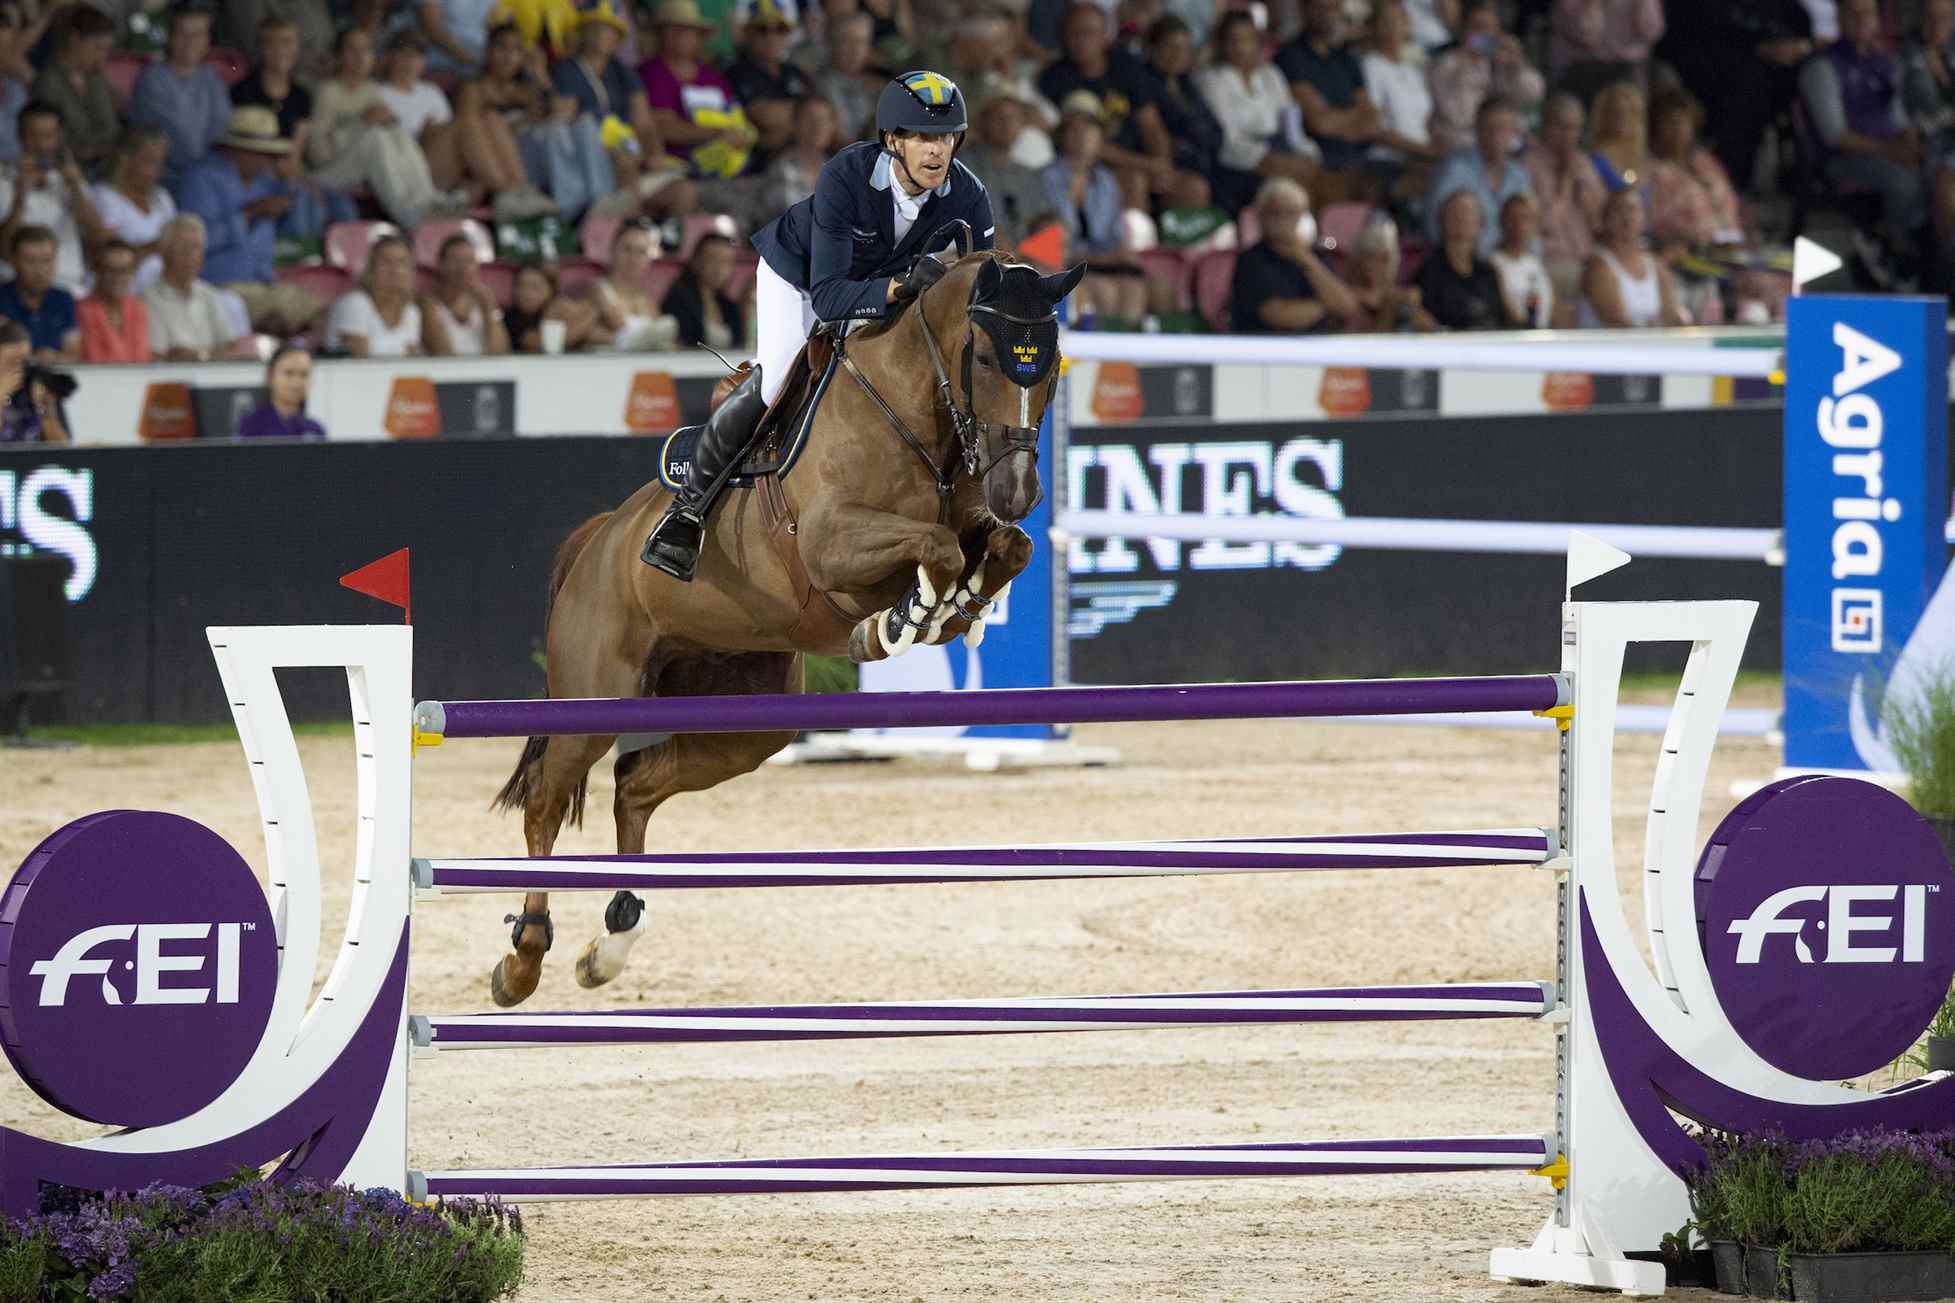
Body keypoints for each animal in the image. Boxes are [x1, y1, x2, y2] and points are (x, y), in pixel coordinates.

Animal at [486, 250, 1086, 1007]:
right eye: (982, 356)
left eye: (1052, 361)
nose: (1019, 491)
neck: (914, 412)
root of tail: (601, 536)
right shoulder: (832, 545)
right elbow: (938, 549)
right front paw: (904, 617)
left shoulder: (974, 522)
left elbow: (1008, 547)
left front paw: (957, 608)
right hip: (594, 697)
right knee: (547, 801)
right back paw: (523, 961)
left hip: (746, 719)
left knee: (636, 783)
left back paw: (612, 943)